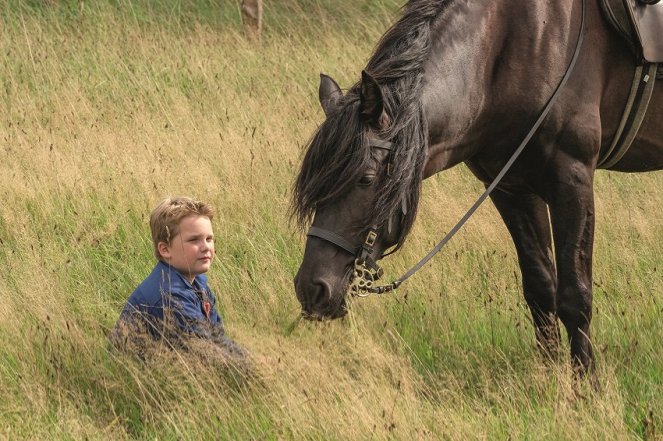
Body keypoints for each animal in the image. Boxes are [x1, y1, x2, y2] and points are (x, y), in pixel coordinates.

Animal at [292, 0, 663, 374]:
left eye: (366, 179)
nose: (312, 288)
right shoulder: (511, 188)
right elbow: (541, 289)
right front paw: (547, 378)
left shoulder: (572, 180)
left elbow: (575, 296)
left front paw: (584, 383)